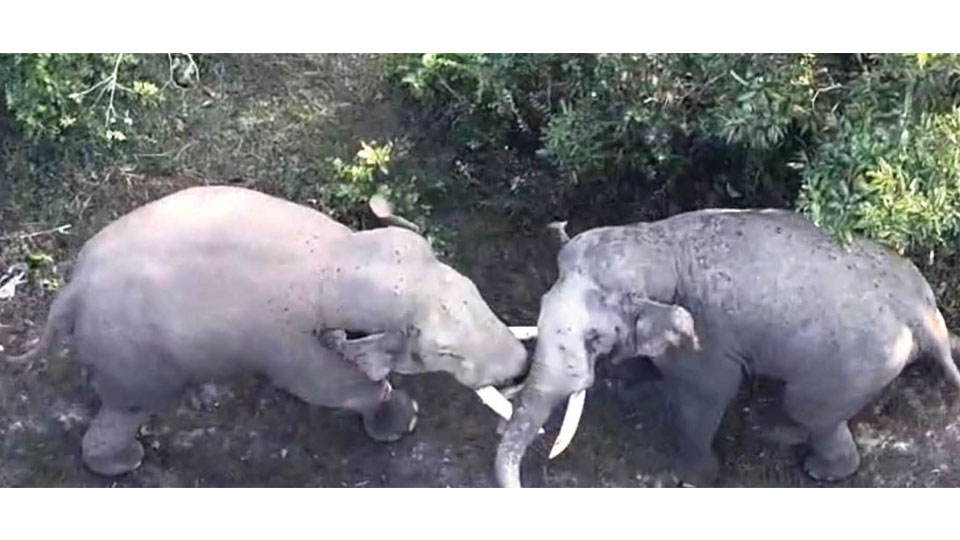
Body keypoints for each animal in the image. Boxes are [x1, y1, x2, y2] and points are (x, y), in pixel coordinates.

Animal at [1, 185, 528, 477]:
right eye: (444, 352)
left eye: (475, 289)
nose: (520, 373)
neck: (344, 260)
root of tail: (71, 290)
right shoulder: (289, 345)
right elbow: (333, 387)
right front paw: (402, 420)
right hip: (134, 355)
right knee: (128, 407)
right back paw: (126, 461)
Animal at [495, 208, 960, 487]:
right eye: (541, 307)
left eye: (594, 338)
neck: (656, 242)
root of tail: (923, 311)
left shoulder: (706, 339)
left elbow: (705, 397)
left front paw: (692, 478)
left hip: (852, 363)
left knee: (811, 410)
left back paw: (818, 468)